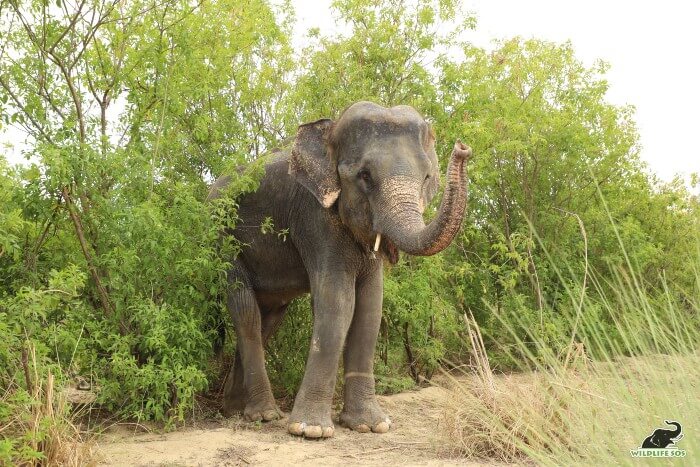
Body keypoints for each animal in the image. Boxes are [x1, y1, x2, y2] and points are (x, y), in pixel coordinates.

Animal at [208, 99, 470, 438]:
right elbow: (338, 303)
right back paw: (264, 415)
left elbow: (370, 307)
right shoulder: (314, 218)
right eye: (365, 176)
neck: (328, 131)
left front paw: (372, 425)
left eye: (426, 178)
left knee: (268, 319)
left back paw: (236, 410)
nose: (463, 148)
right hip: (221, 242)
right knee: (246, 312)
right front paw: (309, 431)